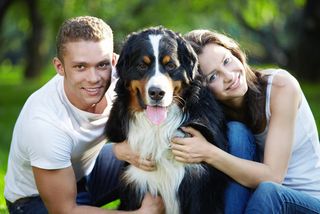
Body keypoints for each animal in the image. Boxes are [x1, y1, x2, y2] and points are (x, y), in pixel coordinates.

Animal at [106, 26, 229, 214]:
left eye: (170, 65)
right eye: (142, 65)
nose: (157, 93)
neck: (158, 129)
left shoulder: (198, 183)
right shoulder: (136, 181)